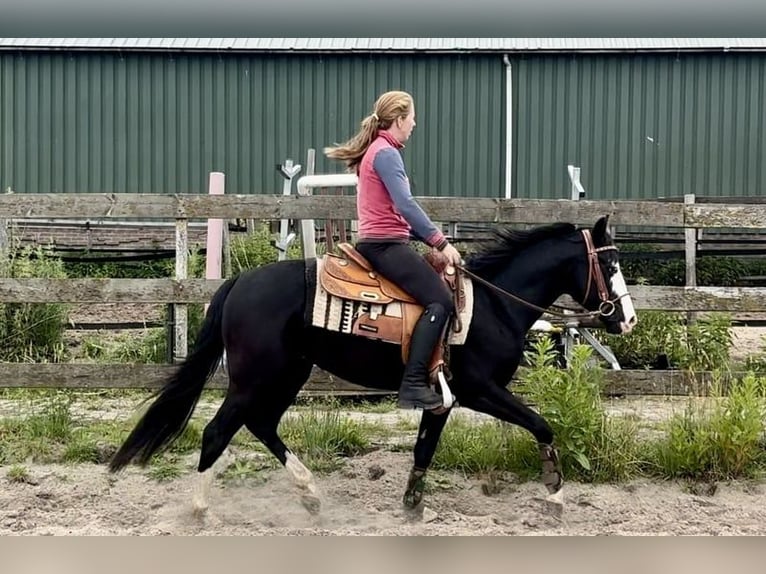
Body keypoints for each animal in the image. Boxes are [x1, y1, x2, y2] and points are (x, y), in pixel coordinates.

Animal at [108, 215, 637, 517]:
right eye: (610, 265)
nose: (628, 319)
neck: (492, 305)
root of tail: (240, 282)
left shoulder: (442, 400)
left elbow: (424, 448)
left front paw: (412, 505)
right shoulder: (482, 391)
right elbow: (542, 425)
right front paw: (554, 495)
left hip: (288, 374)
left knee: (262, 424)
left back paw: (310, 494)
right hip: (255, 378)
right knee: (219, 431)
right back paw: (200, 509)